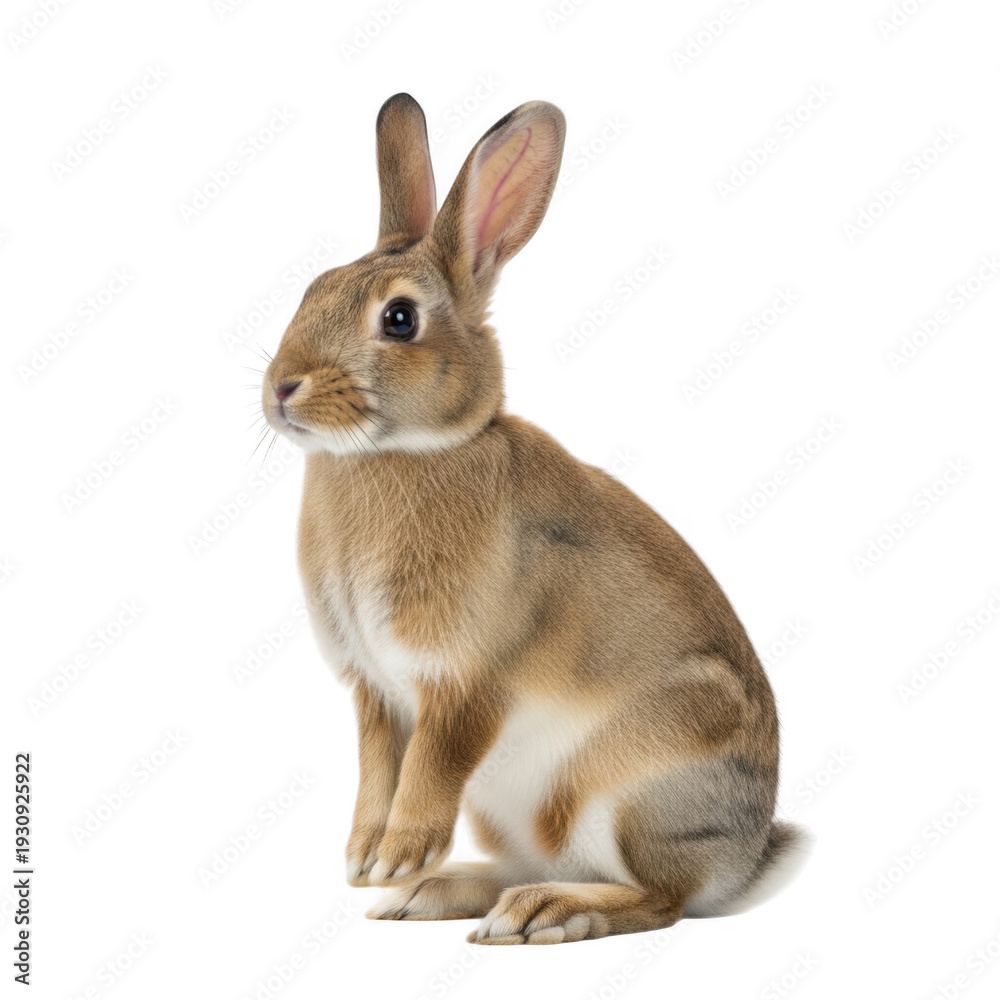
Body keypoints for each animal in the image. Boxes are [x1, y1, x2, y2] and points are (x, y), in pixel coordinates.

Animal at [260, 93, 811, 946]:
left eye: (398, 319)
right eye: (313, 287)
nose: (281, 388)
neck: (408, 451)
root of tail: (745, 860)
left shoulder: (466, 685)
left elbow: (429, 767)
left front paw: (396, 856)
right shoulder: (376, 691)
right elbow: (379, 768)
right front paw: (368, 864)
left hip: (626, 793)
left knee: (660, 899)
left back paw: (542, 912)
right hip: (513, 811)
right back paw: (440, 895)